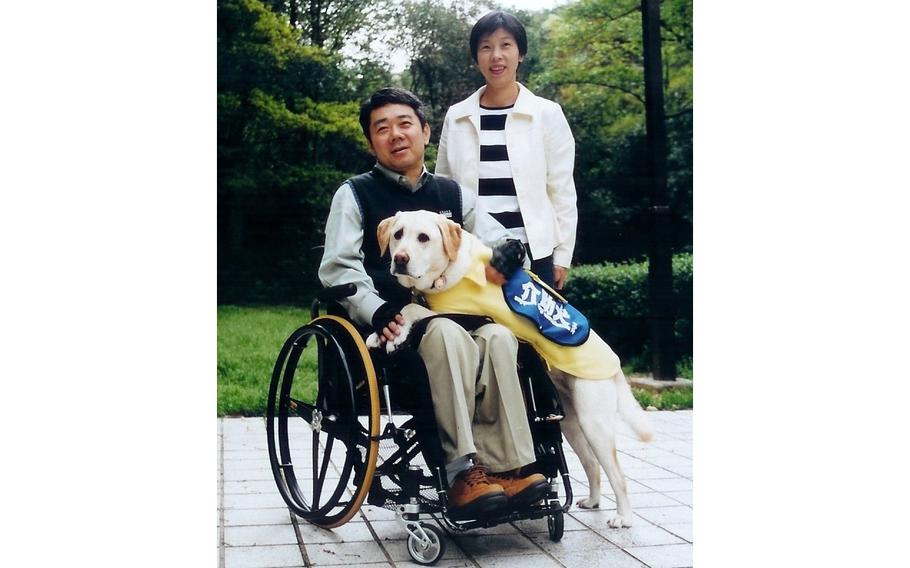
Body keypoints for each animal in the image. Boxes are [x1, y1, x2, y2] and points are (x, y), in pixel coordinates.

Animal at [366, 210, 656, 528]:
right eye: (398, 235)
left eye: (423, 238)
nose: (400, 258)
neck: (449, 271)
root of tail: (615, 366)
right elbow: (404, 310)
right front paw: (380, 332)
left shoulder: (461, 314)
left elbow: (413, 309)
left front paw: (395, 334)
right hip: (570, 423)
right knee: (592, 464)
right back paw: (591, 501)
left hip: (596, 423)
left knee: (617, 473)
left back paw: (623, 517)